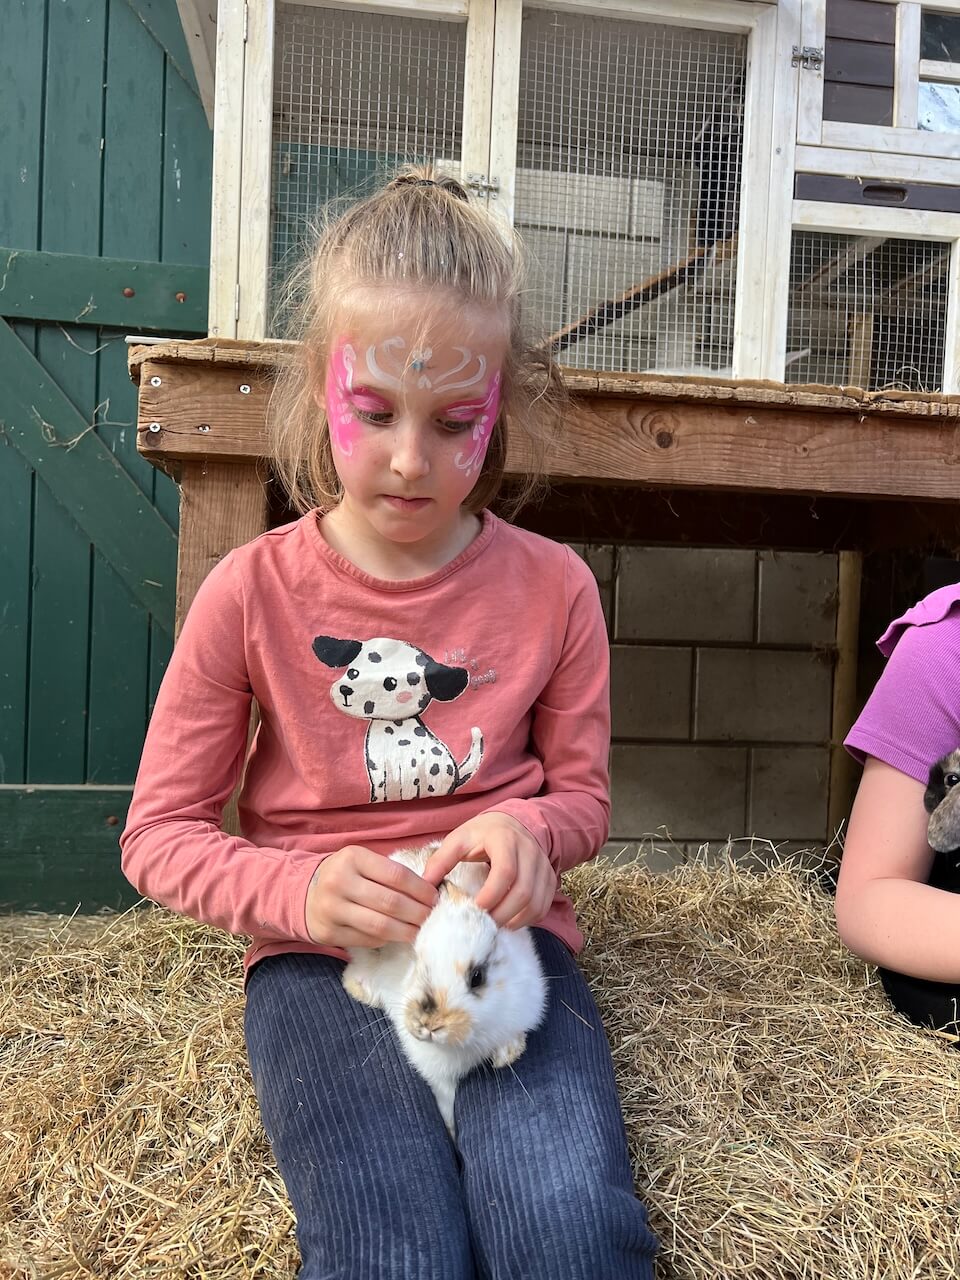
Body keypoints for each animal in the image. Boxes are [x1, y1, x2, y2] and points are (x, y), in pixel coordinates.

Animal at [342, 842, 548, 1137]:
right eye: (417, 960)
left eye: (477, 977)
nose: (428, 1024)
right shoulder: (437, 1074)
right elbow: (446, 1100)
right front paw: (451, 1131)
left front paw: (507, 1056)